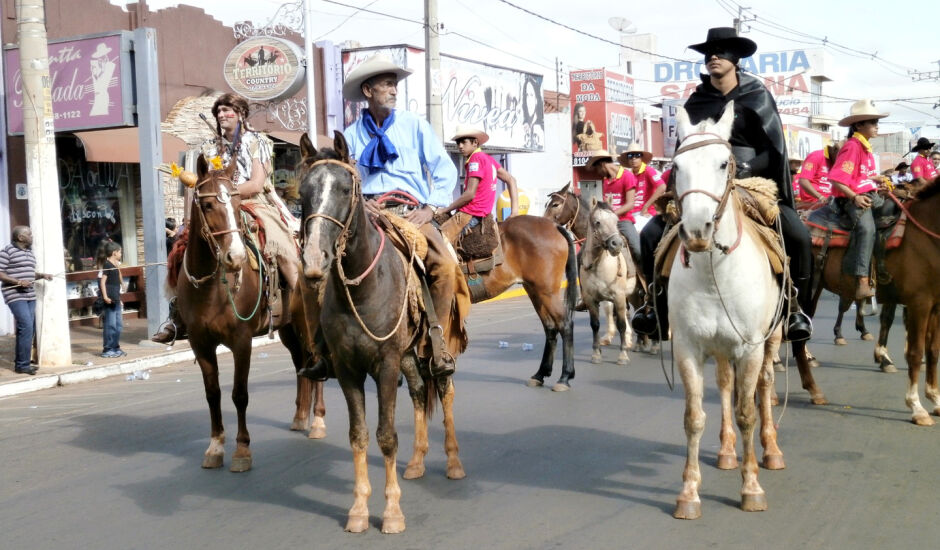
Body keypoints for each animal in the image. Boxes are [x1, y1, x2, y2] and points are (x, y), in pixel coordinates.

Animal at [175, 156, 324, 474]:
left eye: (235, 202)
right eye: (208, 205)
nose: (236, 257)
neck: (212, 289)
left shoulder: (241, 341)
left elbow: (239, 394)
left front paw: (242, 450)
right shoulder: (200, 343)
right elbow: (213, 393)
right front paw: (215, 447)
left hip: (308, 323)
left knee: (316, 362)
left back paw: (318, 420)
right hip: (288, 330)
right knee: (301, 364)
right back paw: (299, 417)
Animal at [300, 134, 464, 536]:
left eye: (345, 190)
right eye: (303, 192)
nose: (314, 261)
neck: (363, 287)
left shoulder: (385, 364)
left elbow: (386, 436)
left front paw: (391, 513)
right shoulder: (347, 369)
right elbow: (358, 435)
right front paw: (359, 510)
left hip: (434, 348)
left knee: (445, 388)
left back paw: (453, 463)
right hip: (408, 354)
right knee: (420, 391)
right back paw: (417, 462)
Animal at [580, 199, 640, 366]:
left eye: (616, 221)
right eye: (597, 222)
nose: (617, 244)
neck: (599, 265)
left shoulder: (618, 297)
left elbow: (621, 324)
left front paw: (623, 355)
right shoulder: (590, 299)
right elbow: (595, 325)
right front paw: (596, 353)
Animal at [668, 102, 784, 520]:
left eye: (723, 163)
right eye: (675, 166)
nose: (696, 231)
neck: (713, 270)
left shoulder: (750, 347)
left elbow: (747, 412)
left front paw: (751, 489)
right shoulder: (688, 347)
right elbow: (693, 418)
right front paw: (688, 492)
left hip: (772, 338)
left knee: (764, 386)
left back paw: (771, 450)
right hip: (719, 349)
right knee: (724, 384)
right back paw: (727, 450)